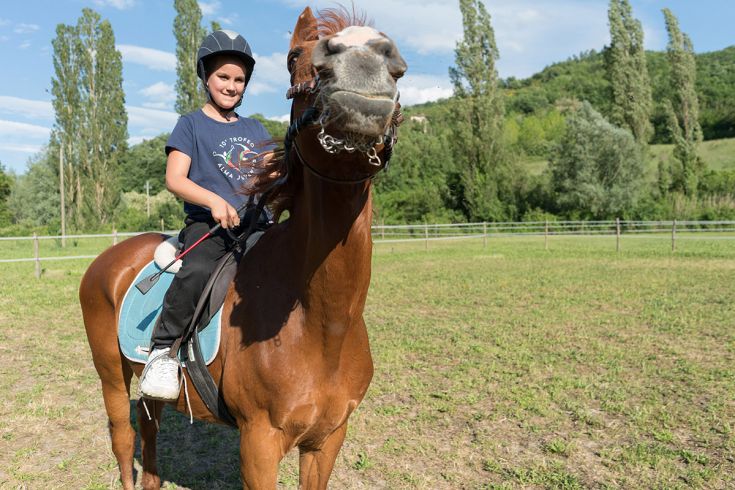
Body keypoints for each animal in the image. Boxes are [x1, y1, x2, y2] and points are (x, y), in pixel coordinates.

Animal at [79, 7, 406, 489]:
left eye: (392, 54)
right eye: (293, 56)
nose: (363, 58)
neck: (321, 324)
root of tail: (109, 259)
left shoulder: (328, 439)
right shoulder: (259, 444)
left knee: (150, 422)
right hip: (110, 373)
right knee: (123, 435)